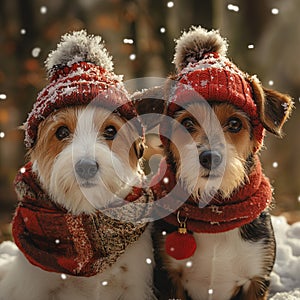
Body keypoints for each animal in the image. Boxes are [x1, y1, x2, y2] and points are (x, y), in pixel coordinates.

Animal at [150, 26, 292, 300]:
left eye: (235, 124)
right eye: (187, 123)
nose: (209, 157)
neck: (215, 212)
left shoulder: (257, 277)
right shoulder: (168, 276)